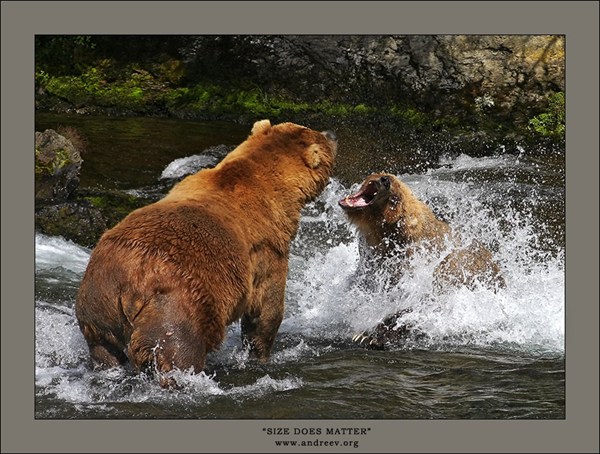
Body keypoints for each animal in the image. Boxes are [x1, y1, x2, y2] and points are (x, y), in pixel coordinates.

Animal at [75, 119, 338, 384]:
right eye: (320, 137)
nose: (332, 133)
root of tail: (127, 285)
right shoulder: (268, 249)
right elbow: (266, 308)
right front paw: (261, 354)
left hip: (98, 303)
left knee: (104, 350)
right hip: (177, 307)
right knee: (179, 351)